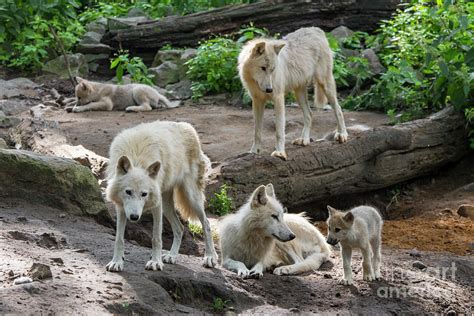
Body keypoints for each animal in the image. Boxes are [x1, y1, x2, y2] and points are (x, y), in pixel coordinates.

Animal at [104, 120, 218, 272]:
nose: (134, 217)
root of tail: (188, 126)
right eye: (128, 192)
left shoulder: (156, 206)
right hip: (167, 204)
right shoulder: (122, 207)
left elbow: (156, 238)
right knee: (180, 228)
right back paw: (171, 256)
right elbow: (119, 238)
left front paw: (155, 262)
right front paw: (116, 262)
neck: (137, 158)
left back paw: (210, 257)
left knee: (206, 223)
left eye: (144, 194)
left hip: (191, 198)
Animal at [239, 26, 346, 160]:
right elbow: (257, 131)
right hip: (299, 93)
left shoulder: (278, 98)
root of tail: (316, 30)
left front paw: (279, 152)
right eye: (263, 68)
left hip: (325, 84)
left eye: (272, 69)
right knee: (309, 114)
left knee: (338, 109)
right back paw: (304, 140)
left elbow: (279, 131)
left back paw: (342, 134)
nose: (269, 90)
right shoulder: (257, 101)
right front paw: (254, 151)